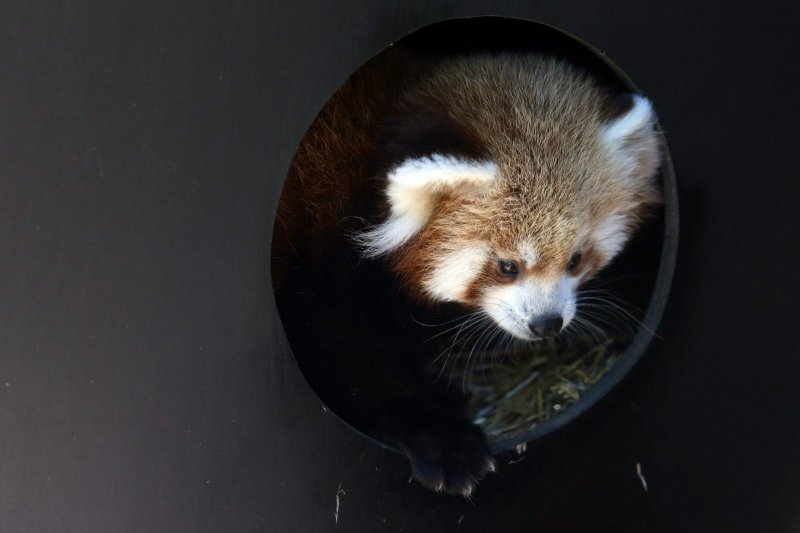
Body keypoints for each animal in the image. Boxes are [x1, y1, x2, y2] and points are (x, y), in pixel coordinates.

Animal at [274, 45, 664, 494]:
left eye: (576, 259)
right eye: (508, 266)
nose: (546, 323)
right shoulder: (330, 260)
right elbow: (346, 353)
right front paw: (444, 440)